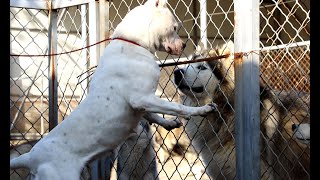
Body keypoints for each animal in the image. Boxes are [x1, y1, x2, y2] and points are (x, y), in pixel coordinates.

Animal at [10, 0, 216, 179]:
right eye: (175, 28)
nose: (184, 44)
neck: (131, 42)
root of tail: (31, 157)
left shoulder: (142, 104)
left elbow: (153, 115)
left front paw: (168, 123)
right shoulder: (142, 98)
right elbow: (176, 106)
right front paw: (201, 110)